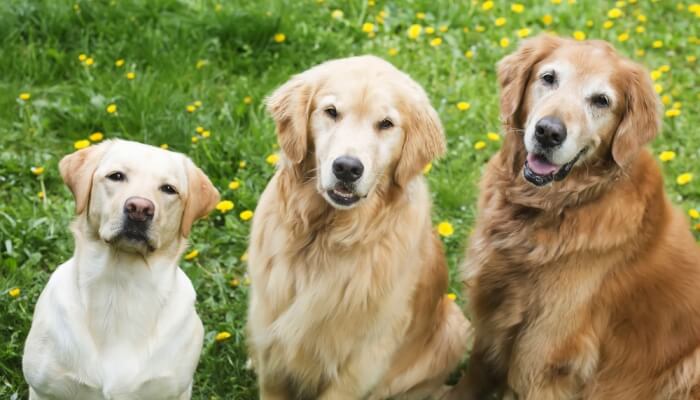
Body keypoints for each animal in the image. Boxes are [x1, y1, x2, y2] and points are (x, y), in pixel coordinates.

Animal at [246, 56, 470, 400]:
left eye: (386, 124)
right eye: (331, 111)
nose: (347, 168)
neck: (323, 237)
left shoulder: (362, 362)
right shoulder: (271, 339)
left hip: (456, 326)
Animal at [446, 35, 700, 400]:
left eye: (601, 100)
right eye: (548, 78)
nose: (549, 132)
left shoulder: (544, 355)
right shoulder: (491, 306)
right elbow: (473, 375)